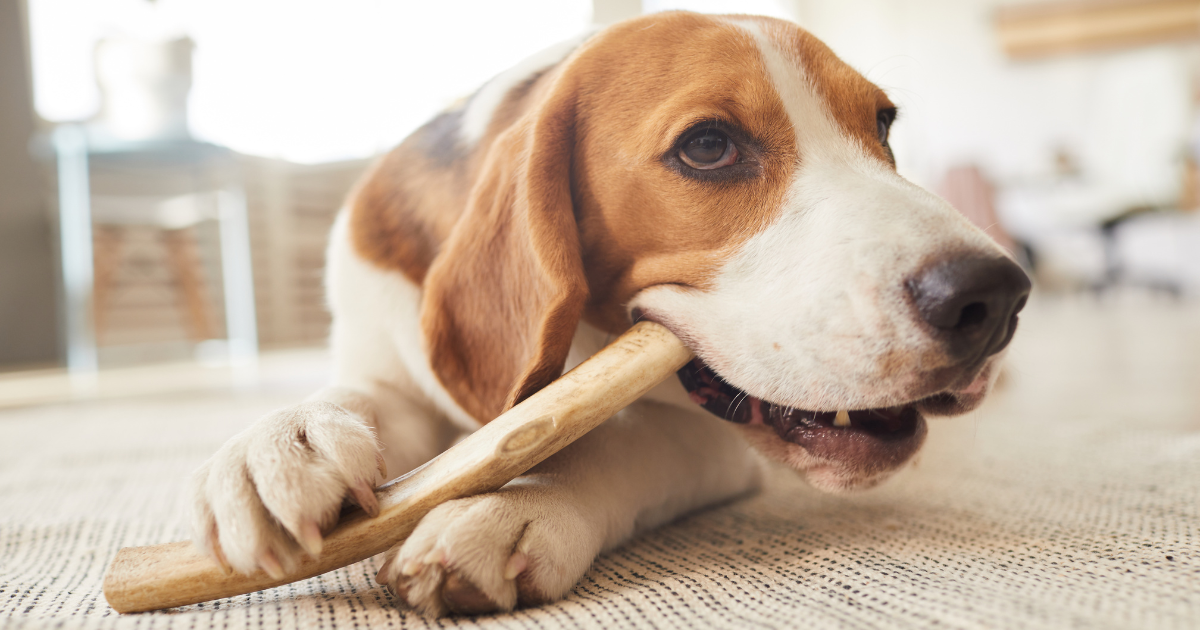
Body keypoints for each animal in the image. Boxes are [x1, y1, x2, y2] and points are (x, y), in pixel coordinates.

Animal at [189, 12, 1032, 614]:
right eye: (708, 146)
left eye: (883, 125)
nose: (995, 297)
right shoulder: (384, 363)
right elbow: (356, 401)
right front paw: (281, 445)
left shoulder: (703, 436)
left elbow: (616, 439)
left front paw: (512, 506)